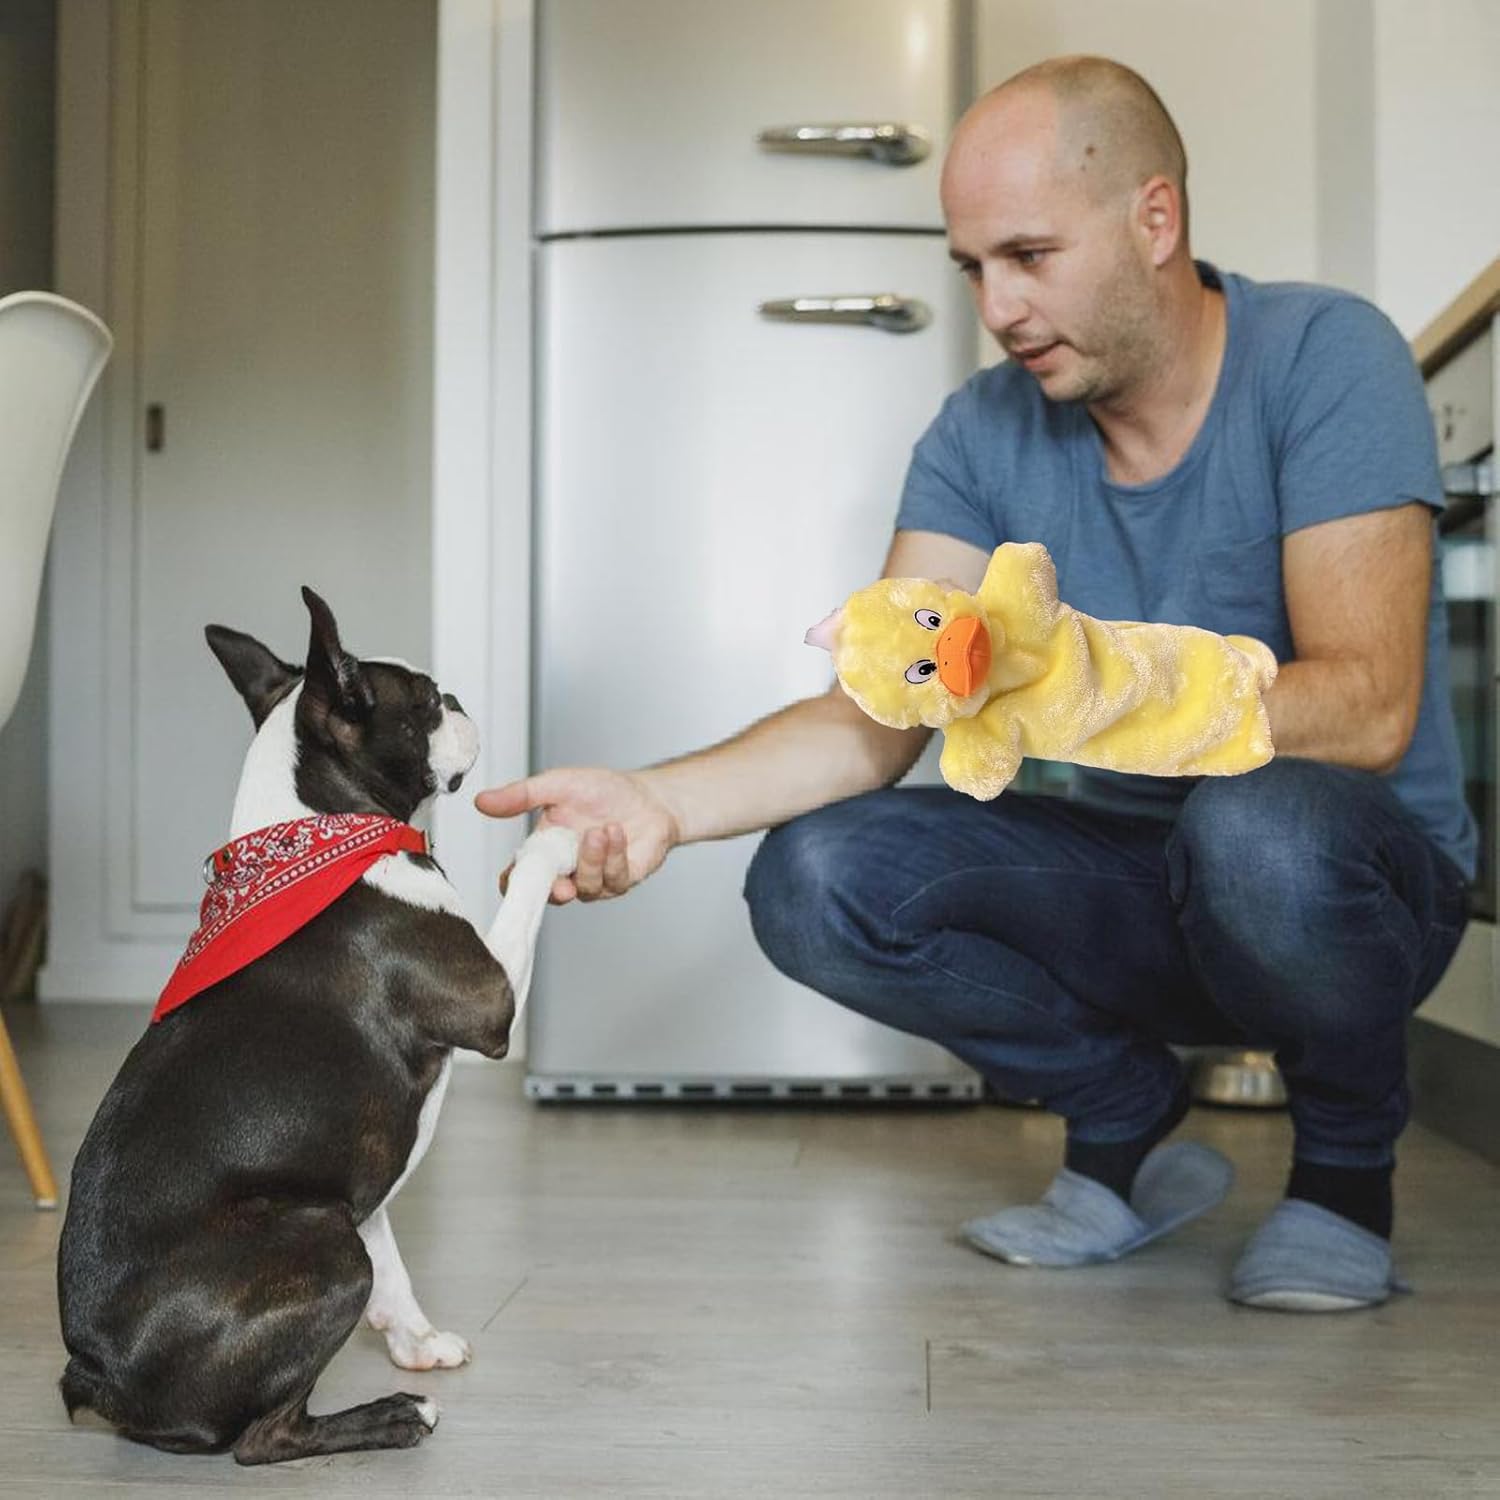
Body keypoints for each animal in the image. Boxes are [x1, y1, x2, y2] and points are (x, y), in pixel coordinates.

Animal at [57, 587, 577, 1464]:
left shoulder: (358, 1180)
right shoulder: (488, 999)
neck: (326, 832)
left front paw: (416, 1339)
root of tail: (96, 1371)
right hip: (325, 1248)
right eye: (427, 700)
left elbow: (393, 1254)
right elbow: (530, 884)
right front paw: (557, 830)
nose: (460, 698)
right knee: (263, 1438)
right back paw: (395, 1417)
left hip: (328, 1220)